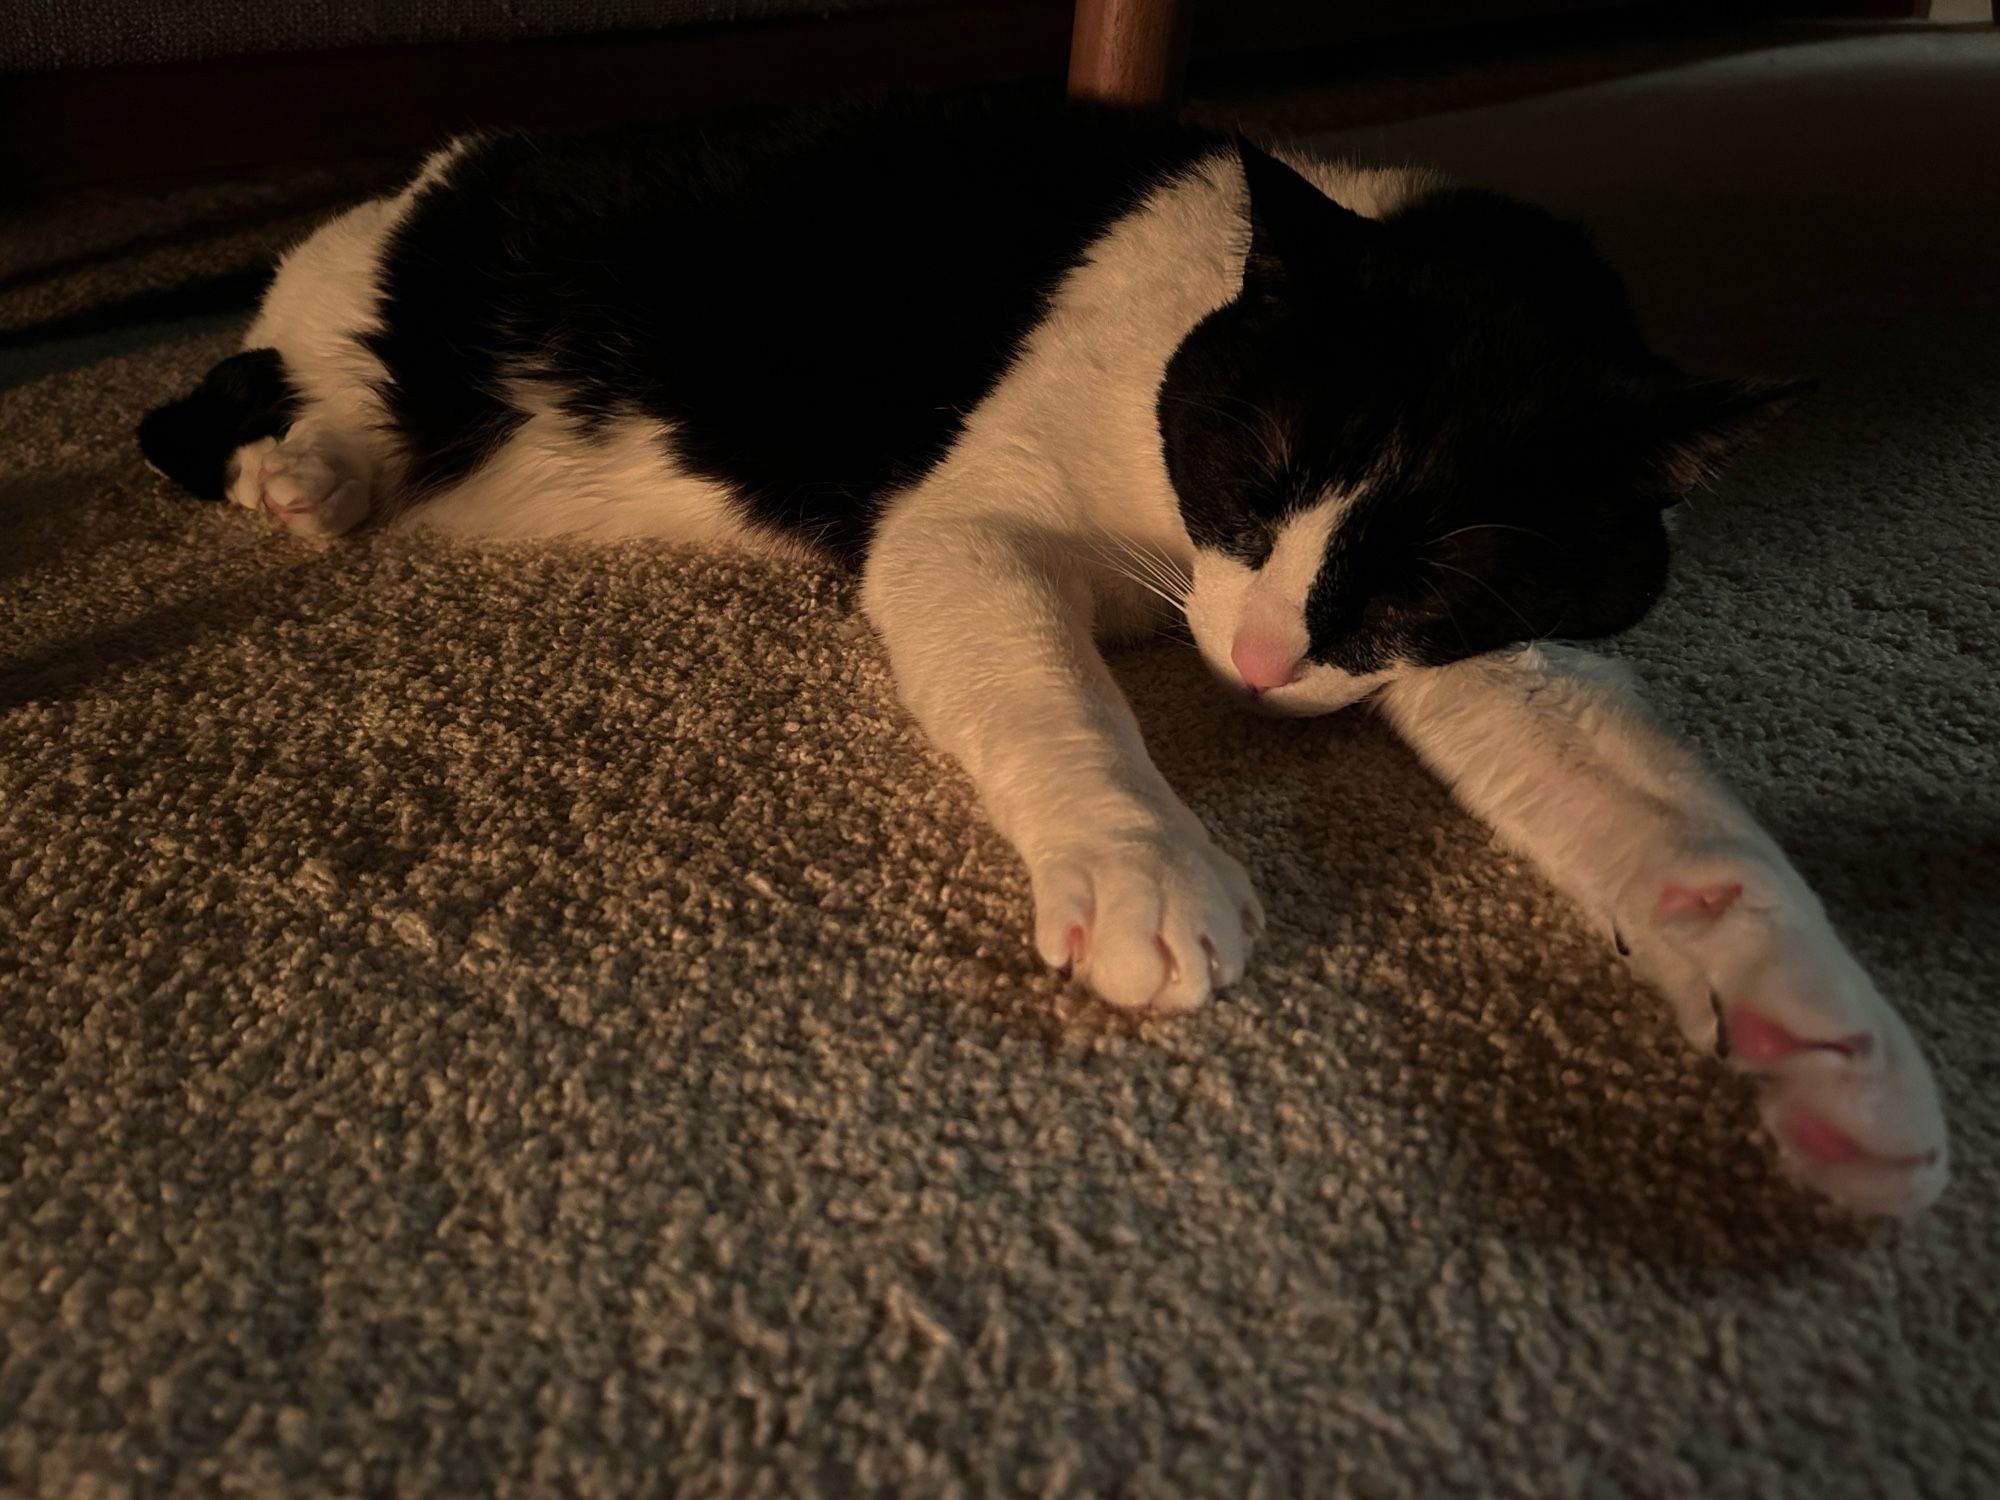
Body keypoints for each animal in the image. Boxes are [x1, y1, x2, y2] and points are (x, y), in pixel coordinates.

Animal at [137, 100, 1936, 1216]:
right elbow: (1062, 704)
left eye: (1445, 566)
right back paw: (307, 476)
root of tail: (457, 160)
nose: (1264, 662)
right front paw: (1142, 867)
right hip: (379, 323)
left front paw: (1833, 1047)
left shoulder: (1507, 653)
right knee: (257, 387)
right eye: (1258, 469)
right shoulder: (967, 532)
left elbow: (1685, 830)